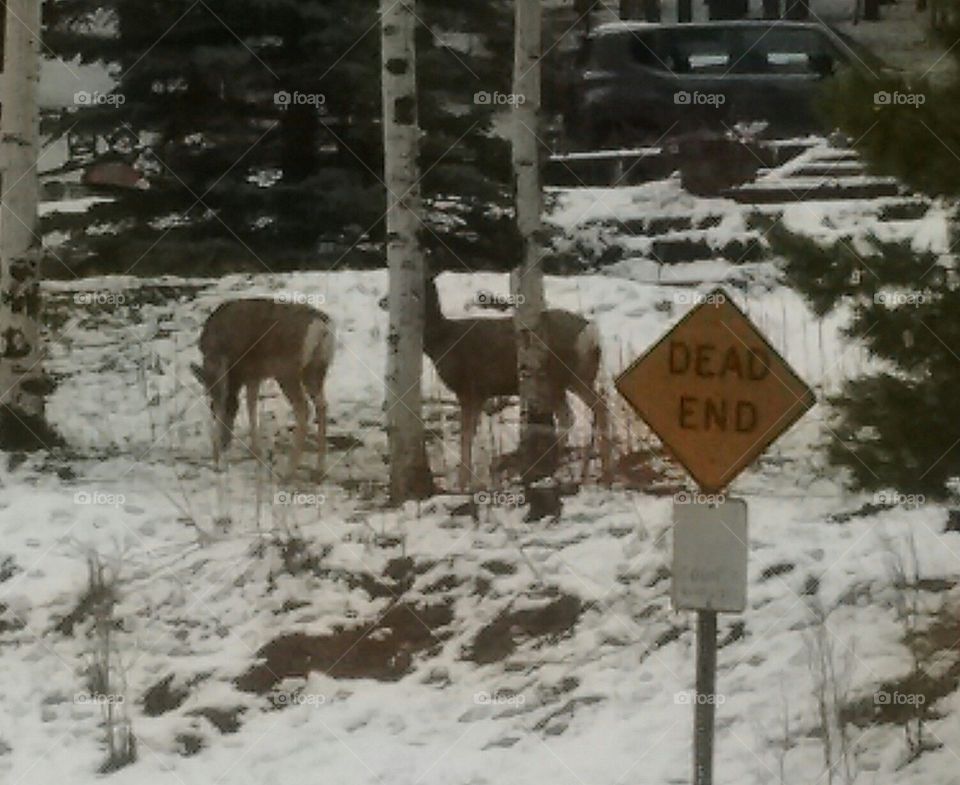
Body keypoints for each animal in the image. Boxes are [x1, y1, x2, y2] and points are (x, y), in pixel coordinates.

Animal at [191, 298, 336, 480]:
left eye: (211, 408)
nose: (225, 442)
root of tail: (321, 327)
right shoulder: (253, 375)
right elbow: (251, 405)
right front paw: (255, 451)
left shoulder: (224, 369)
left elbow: (228, 403)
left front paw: (217, 458)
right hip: (316, 369)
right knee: (322, 405)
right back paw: (320, 468)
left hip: (287, 371)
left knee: (303, 409)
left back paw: (288, 471)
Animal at [423, 273, 608, 491]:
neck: (441, 340)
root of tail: (590, 333)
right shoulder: (479, 393)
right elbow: (470, 434)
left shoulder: (469, 388)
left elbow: (466, 436)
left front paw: (463, 485)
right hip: (578, 377)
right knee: (590, 409)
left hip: (557, 378)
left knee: (578, 413)